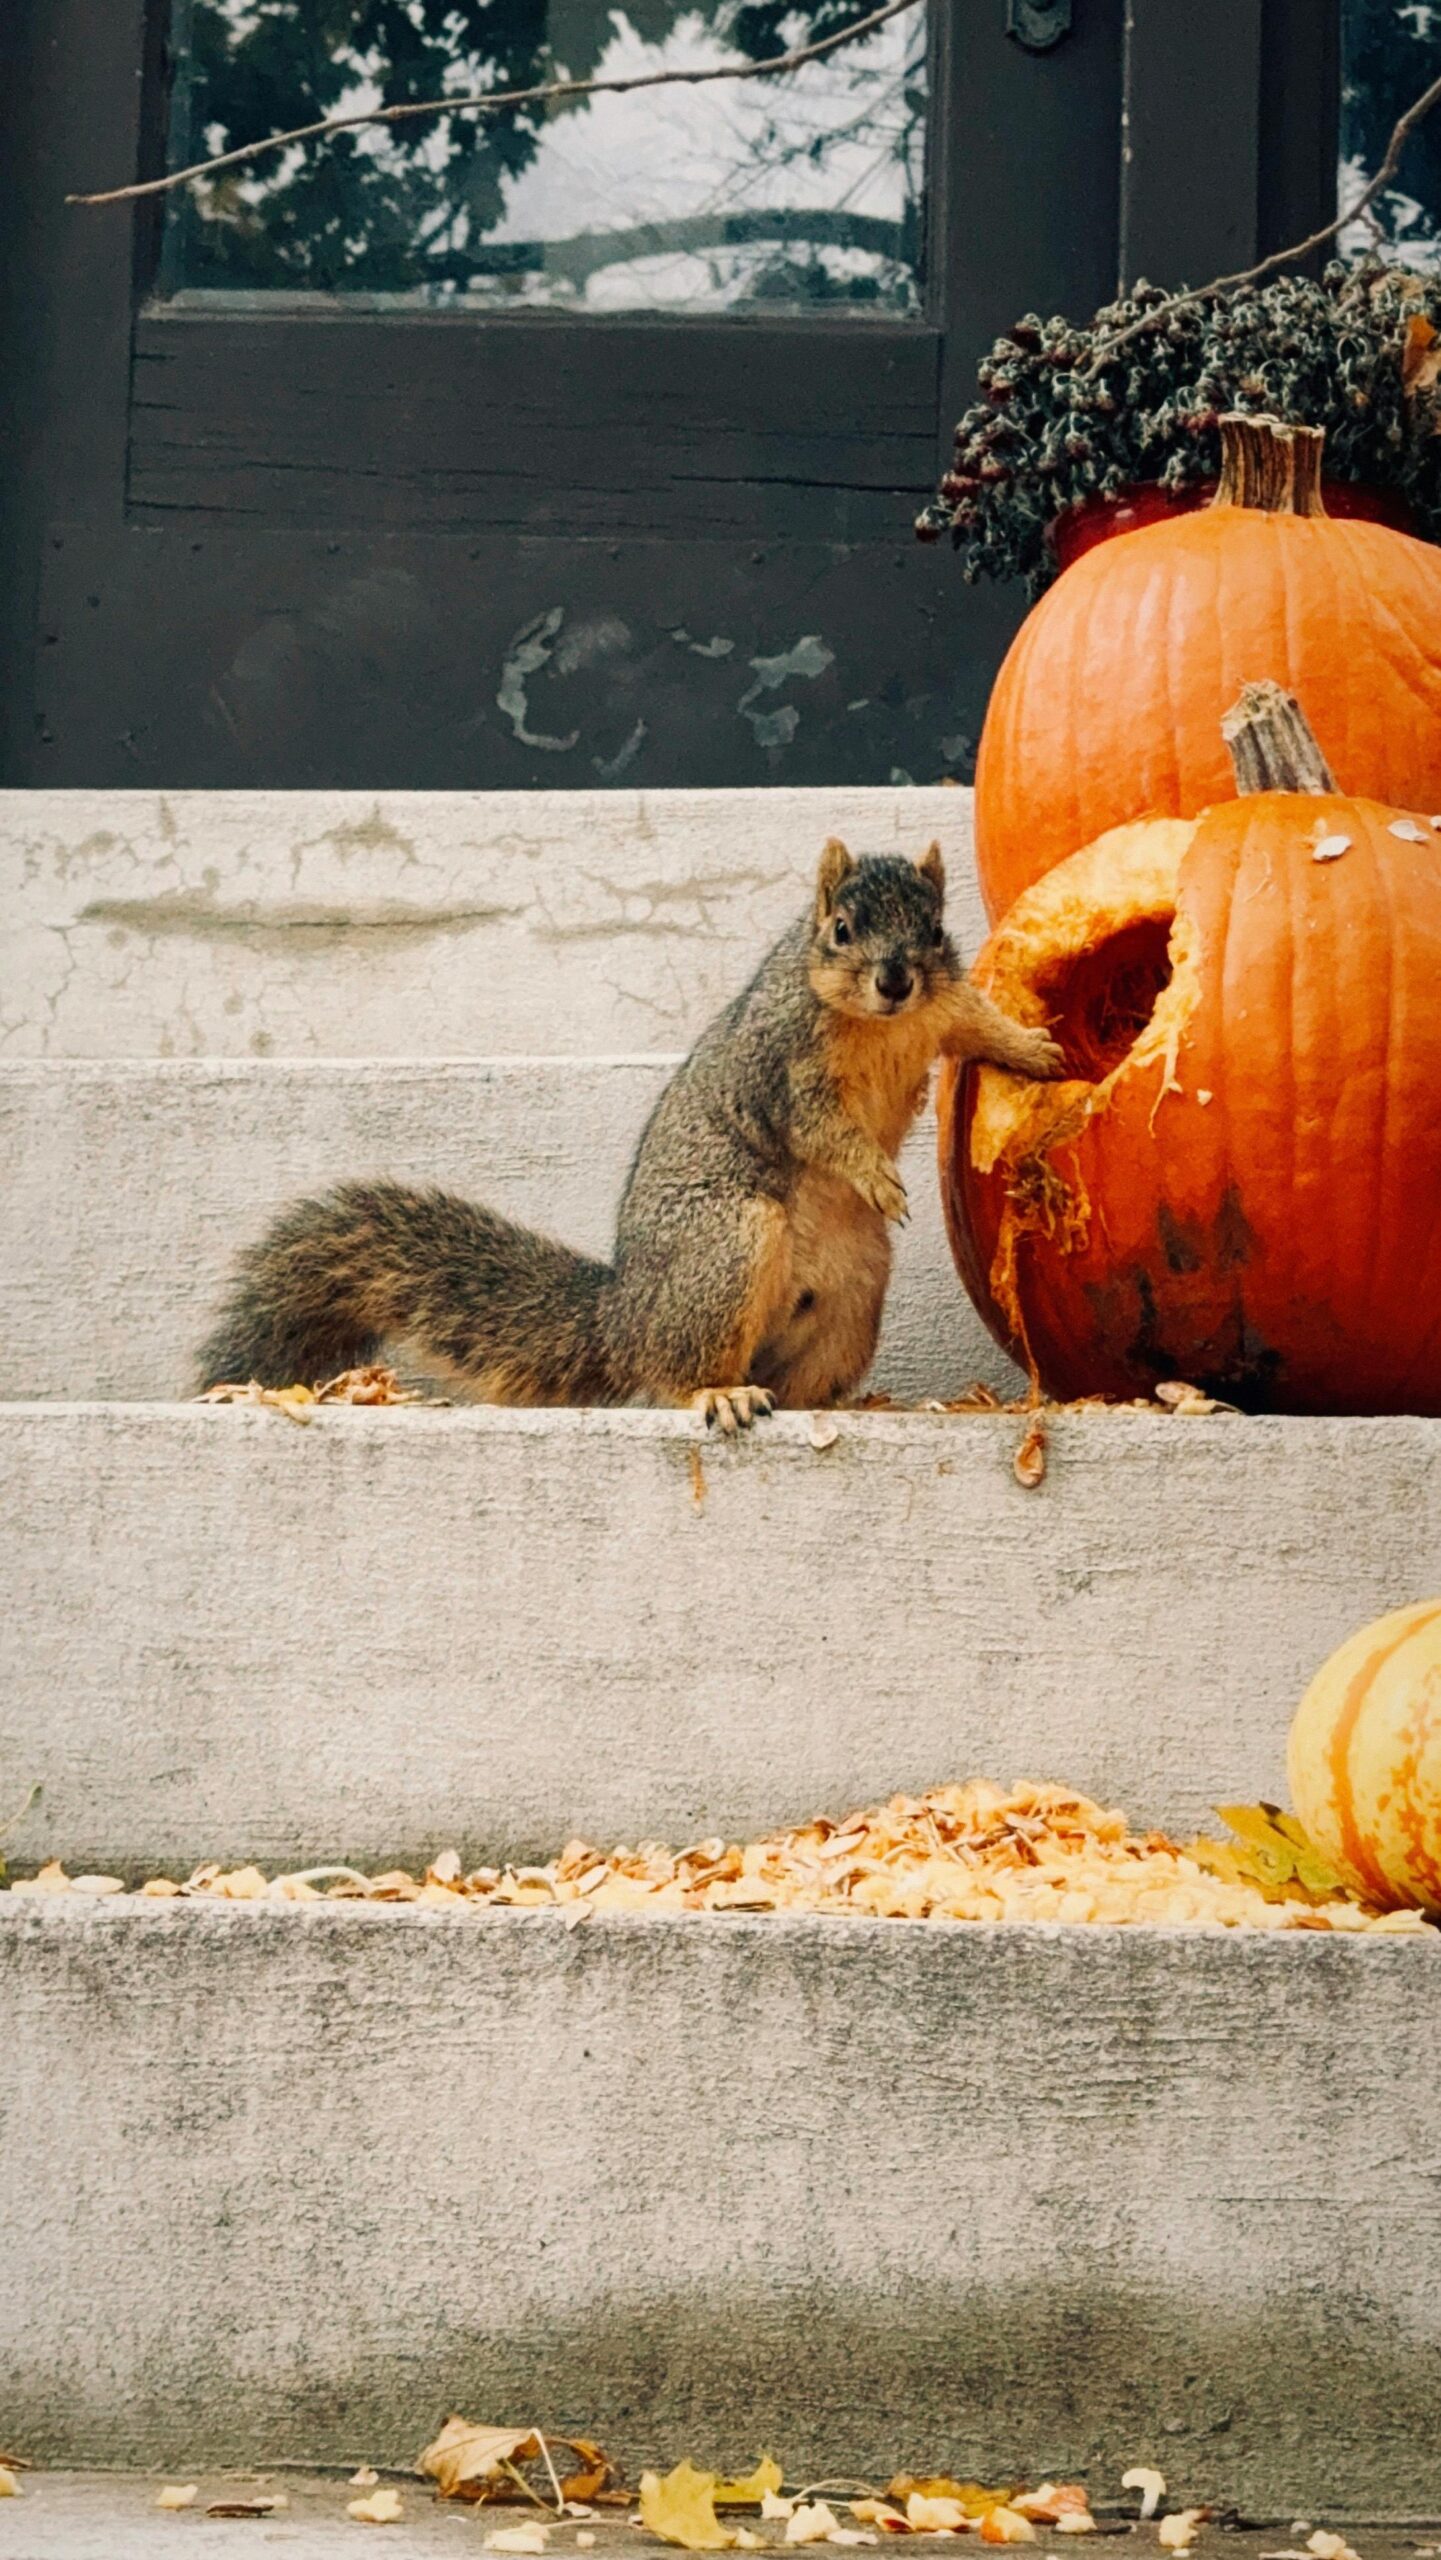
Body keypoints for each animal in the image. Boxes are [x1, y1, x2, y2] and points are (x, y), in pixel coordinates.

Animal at [195, 838, 1064, 1429]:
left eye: (934, 928)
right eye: (842, 928)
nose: (894, 979)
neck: (880, 1024)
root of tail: (624, 1317)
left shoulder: (943, 1007)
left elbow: (982, 1024)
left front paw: (1036, 1051)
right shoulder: (785, 1071)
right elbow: (821, 1130)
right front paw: (876, 1175)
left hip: (851, 1294)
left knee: (795, 1380)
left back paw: (839, 1408)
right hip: (728, 1241)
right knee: (679, 1371)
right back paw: (718, 1391)